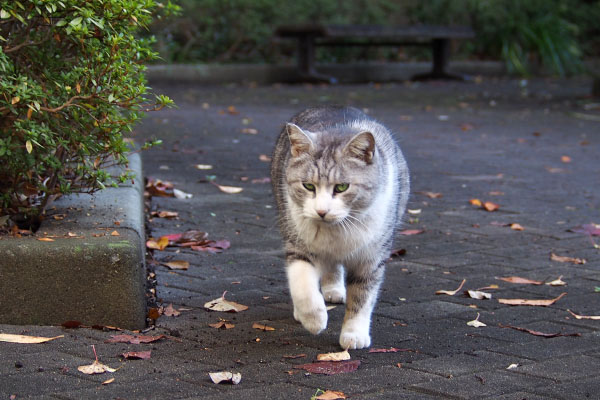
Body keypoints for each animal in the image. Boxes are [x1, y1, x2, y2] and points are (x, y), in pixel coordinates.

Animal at [270, 104, 408, 348]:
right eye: (308, 186)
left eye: (342, 187)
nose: (321, 211)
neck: (337, 230)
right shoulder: (298, 242)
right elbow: (302, 283)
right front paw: (314, 319)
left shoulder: (371, 256)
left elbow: (362, 295)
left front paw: (354, 334)